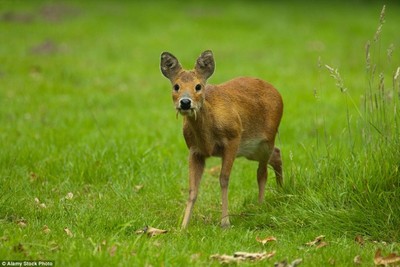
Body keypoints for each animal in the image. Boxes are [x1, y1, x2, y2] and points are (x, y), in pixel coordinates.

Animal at [160, 50, 284, 228]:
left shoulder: (233, 138)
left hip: (266, 139)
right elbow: (192, 189)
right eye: (176, 86)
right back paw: (281, 191)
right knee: (277, 154)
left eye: (198, 86)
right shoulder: (194, 150)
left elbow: (224, 179)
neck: (207, 136)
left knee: (262, 172)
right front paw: (183, 226)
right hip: (251, 149)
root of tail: (277, 92)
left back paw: (261, 205)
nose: (185, 102)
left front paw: (225, 222)